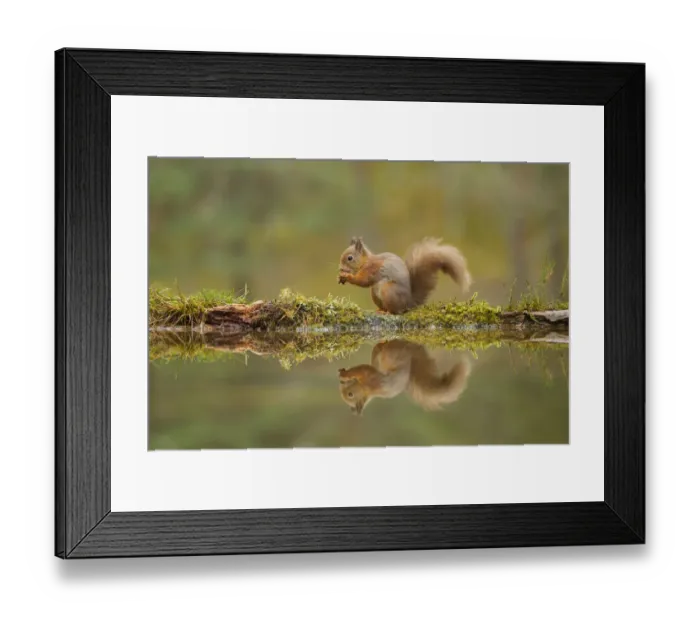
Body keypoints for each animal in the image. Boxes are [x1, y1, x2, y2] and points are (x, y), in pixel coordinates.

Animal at [337, 236, 472, 314]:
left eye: (350, 258)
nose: (340, 269)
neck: (365, 261)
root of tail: (409, 302)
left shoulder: (372, 268)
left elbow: (363, 281)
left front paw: (347, 277)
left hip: (388, 291)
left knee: (396, 311)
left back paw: (388, 312)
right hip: (375, 294)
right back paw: (380, 310)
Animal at [338, 340, 472, 416]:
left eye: (350, 394)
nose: (342, 385)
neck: (367, 391)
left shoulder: (371, 378)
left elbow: (363, 368)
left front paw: (345, 374)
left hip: (393, 354)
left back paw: (381, 345)